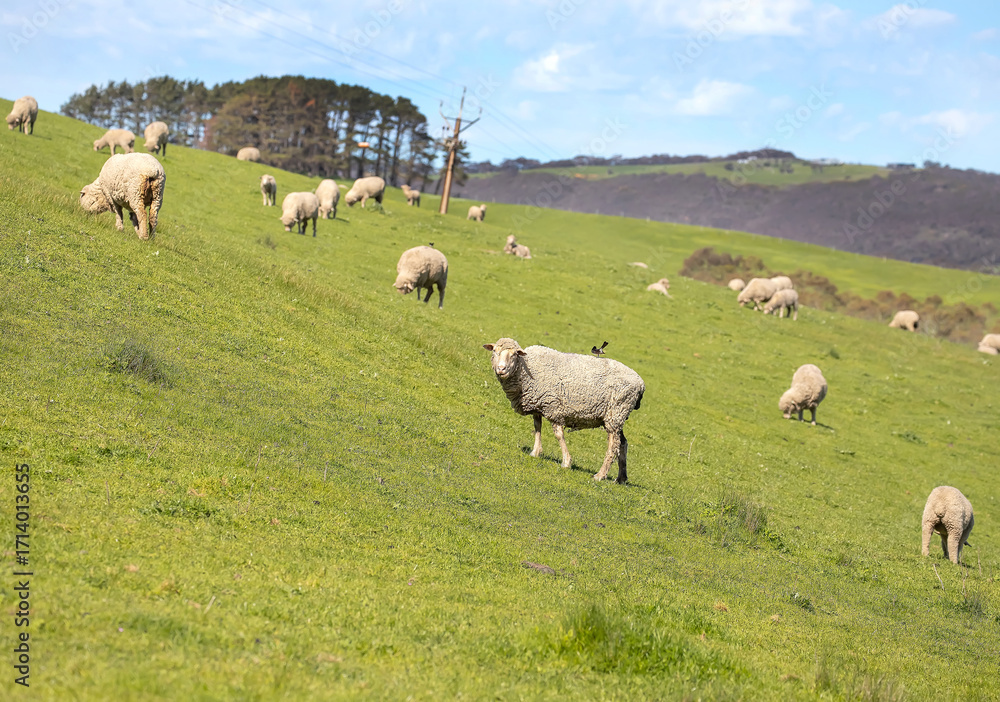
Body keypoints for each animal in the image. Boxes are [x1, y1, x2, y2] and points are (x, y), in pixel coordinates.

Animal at [482, 338, 645, 484]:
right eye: (495, 351)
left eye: (514, 354)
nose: (501, 369)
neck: (527, 368)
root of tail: (641, 383)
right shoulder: (539, 405)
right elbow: (537, 428)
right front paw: (535, 452)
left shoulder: (554, 408)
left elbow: (559, 435)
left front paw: (566, 462)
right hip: (617, 416)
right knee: (623, 443)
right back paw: (621, 478)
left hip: (616, 411)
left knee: (613, 447)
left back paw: (600, 475)